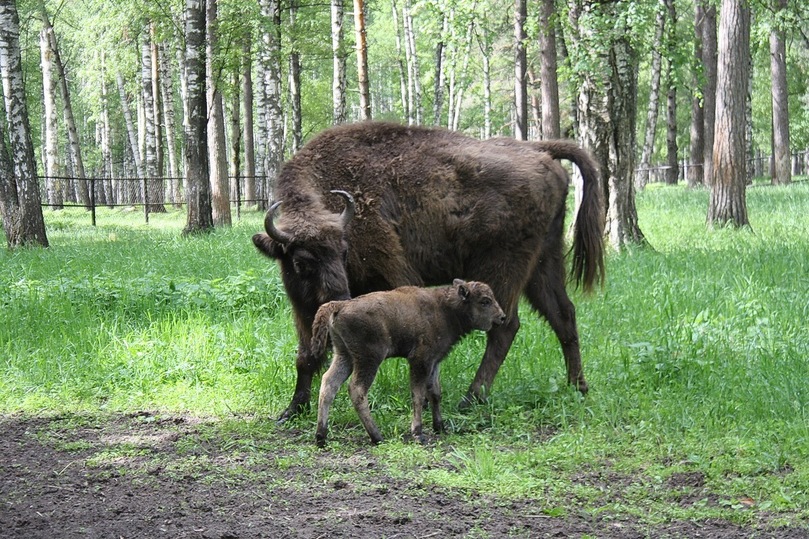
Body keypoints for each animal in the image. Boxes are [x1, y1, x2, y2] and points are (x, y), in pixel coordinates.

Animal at [254, 122, 608, 422]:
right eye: (300, 262)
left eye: (344, 251)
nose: (339, 295)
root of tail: (538, 150)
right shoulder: (303, 310)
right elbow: (305, 355)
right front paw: (291, 409)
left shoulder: (392, 276)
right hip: (544, 262)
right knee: (563, 315)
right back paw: (578, 387)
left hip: (504, 268)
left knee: (506, 326)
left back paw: (471, 398)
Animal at [310, 278, 504, 448]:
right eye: (485, 301)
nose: (502, 317)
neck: (445, 309)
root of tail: (340, 305)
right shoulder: (420, 361)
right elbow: (418, 395)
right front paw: (418, 433)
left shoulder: (434, 362)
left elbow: (435, 393)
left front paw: (440, 427)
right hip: (368, 360)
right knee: (357, 390)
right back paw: (377, 437)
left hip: (344, 356)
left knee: (329, 384)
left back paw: (321, 437)